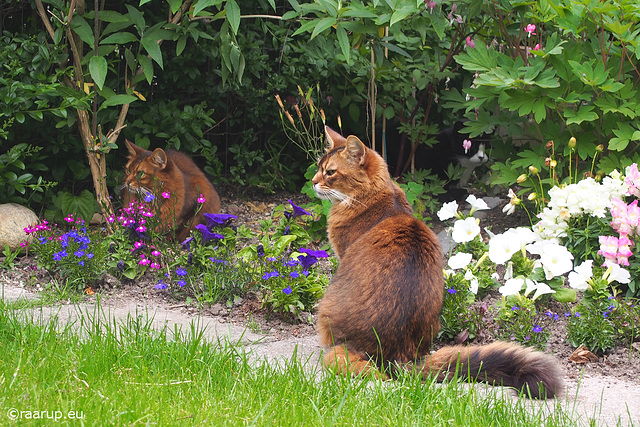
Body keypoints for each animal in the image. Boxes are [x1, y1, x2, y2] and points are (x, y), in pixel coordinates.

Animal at [312, 127, 564, 402]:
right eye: (318, 167)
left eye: (330, 172)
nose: (313, 181)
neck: (380, 197)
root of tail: (395, 358)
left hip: (327, 306)